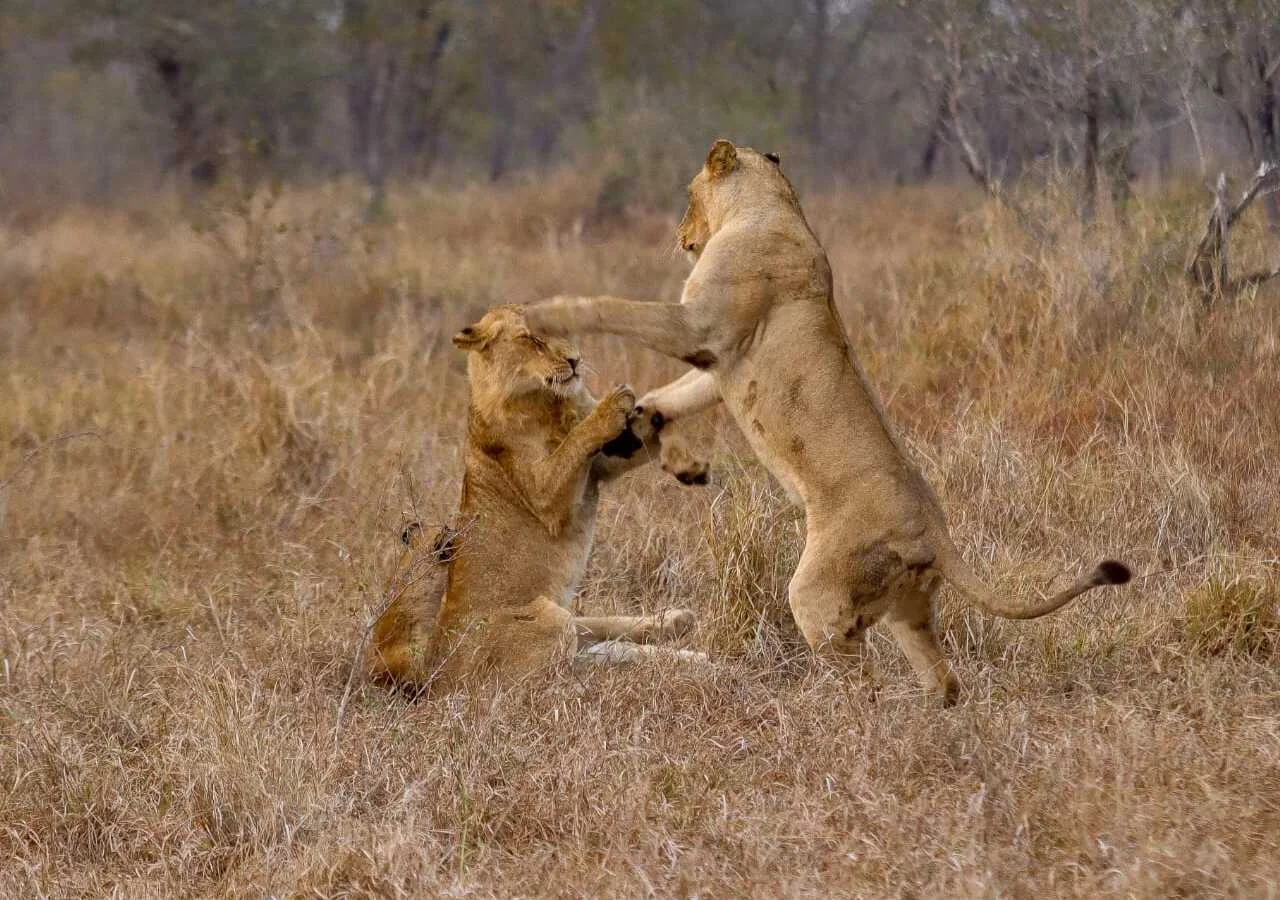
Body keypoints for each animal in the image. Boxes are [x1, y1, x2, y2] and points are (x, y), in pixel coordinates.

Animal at [367, 305, 705, 690]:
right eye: (533, 339)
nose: (576, 360)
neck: (547, 403)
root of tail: (435, 666)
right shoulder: (546, 496)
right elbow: (575, 441)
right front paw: (612, 403)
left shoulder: (602, 465)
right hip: (546, 615)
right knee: (564, 671)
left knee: (599, 641)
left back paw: (680, 628)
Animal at [523, 139, 1131, 705]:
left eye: (689, 196)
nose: (680, 234)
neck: (771, 206)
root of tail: (934, 529)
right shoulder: (720, 361)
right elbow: (664, 397)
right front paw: (670, 452)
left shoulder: (699, 327)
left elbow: (613, 308)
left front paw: (543, 312)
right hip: (907, 607)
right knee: (945, 680)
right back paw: (931, 720)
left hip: (816, 595)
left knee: (864, 682)